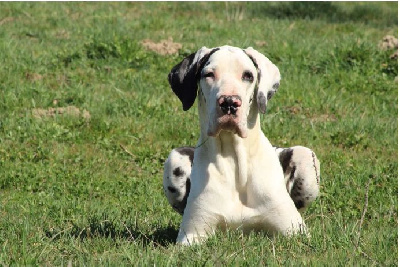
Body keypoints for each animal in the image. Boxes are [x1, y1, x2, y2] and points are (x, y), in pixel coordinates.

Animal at [165, 45, 318, 245]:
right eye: (209, 74)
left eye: (248, 75)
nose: (229, 102)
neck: (234, 160)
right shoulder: (191, 236)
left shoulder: (295, 233)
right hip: (174, 158)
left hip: (305, 157)